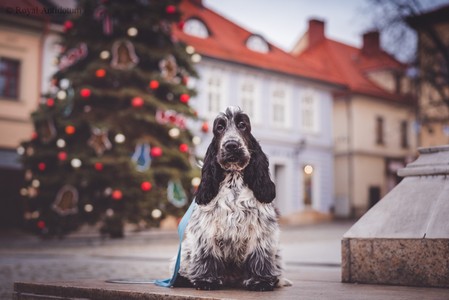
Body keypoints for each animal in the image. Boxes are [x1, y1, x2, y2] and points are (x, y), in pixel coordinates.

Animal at [172, 106, 290, 290]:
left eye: (242, 125)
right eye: (220, 127)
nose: (231, 145)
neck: (234, 179)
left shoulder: (260, 230)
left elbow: (259, 256)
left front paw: (260, 281)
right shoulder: (207, 230)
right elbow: (207, 255)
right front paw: (206, 281)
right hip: (186, 249)